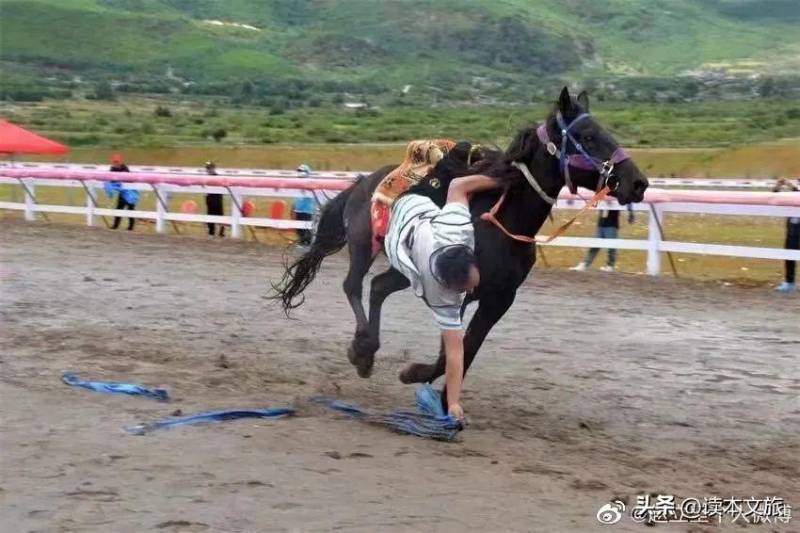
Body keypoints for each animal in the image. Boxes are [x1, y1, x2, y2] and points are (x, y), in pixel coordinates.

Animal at [272, 87, 648, 392]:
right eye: (588, 135)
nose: (639, 183)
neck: (498, 221)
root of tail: (363, 182)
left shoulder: (498, 299)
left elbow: (464, 351)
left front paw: (425, 383)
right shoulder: (457, 291)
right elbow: (452, 351)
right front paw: (415, 375)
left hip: (404, 268)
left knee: (378, 286)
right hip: (364, 245)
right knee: (353, 285)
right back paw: (362, 351)